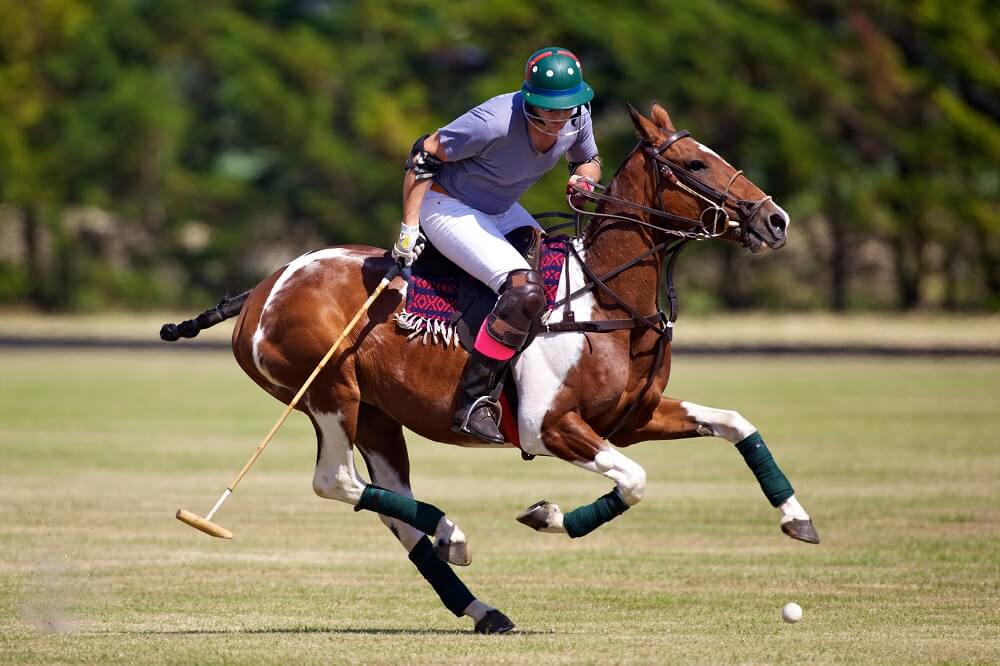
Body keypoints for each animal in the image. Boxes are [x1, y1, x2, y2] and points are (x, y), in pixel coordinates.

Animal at [164, 104, 816, 632]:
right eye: (695, 163)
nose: (776, 221)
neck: (605, 302)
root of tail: (262, 288)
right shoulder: (547, 426)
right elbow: (633, 481)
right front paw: (547, 515)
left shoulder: (635, 417)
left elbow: (735, 423)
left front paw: (798, 520)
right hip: (328, 392)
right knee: (336, 481)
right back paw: (452, 531)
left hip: (377, 413)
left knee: (390, 505)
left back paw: (478, 601)